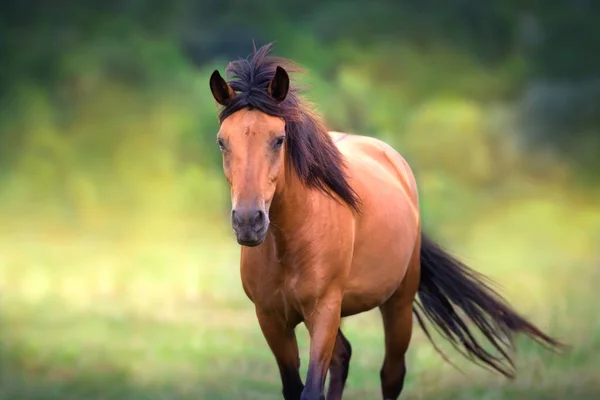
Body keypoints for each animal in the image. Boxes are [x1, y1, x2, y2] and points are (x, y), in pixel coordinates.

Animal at [207, 42, 564, 398]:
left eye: (279, 139)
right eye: (222, 142)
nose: (248, 222)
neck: (290, 241)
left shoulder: (323, 310)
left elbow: (312, 389)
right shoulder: (271, 318)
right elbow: (296, 388)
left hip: (398, 303)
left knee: (391, 373)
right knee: (343, 357)